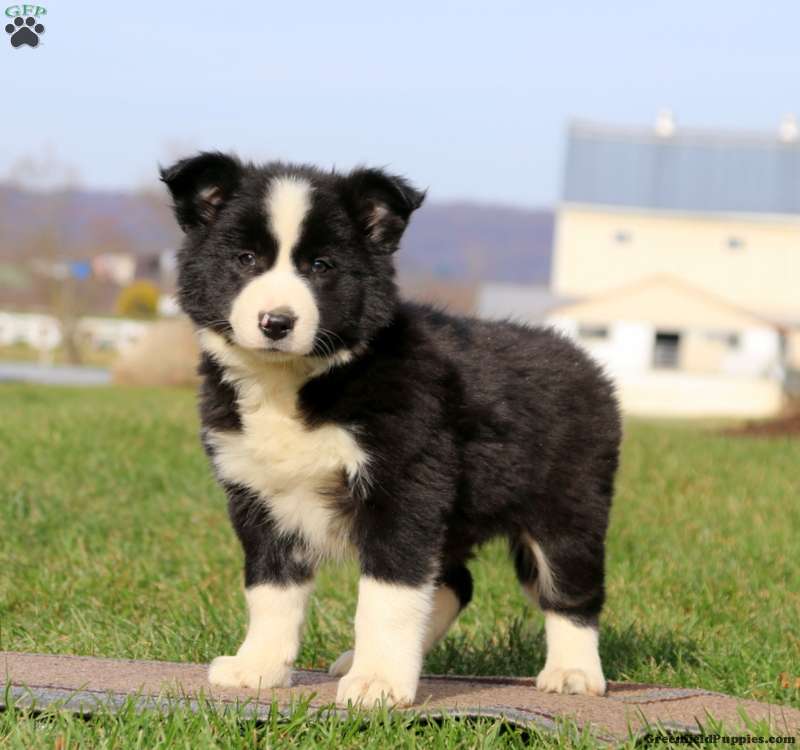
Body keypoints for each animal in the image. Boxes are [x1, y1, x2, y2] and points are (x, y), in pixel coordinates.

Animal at [162, 154, 620, 712]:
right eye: (246, 259)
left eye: (322, 266)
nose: (276, 322)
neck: (295, 383)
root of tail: (585, 362)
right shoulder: (260, 496)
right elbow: (271, 590)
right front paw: (259, 667)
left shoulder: (404, 486)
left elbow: (388, 595)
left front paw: (378, 684)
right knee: (456, 581)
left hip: (568, 503)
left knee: (572, 587)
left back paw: (574, 671)